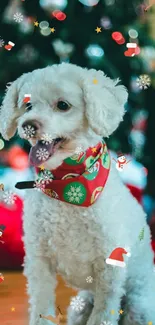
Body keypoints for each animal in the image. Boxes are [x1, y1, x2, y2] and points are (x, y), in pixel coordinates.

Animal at [0, 62, 155, 324]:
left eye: (63, 105)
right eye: (27, 105)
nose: (28, 125)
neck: (68, 186)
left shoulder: (109, 270)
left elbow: (102, 316)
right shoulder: (39, 261)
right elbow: (41, 306)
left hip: (139, 305)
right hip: (80, 306)